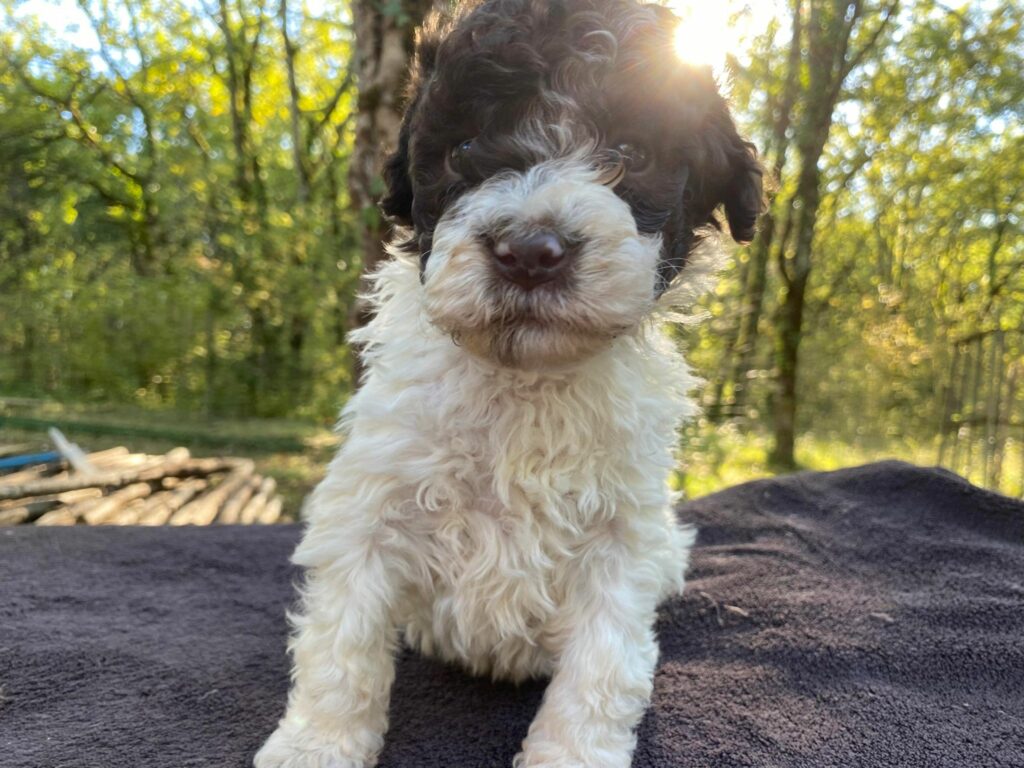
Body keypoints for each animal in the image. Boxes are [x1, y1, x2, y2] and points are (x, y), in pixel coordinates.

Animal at [258, 1, 761, 768]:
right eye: (462, 149)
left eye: (634, 154)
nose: (530, 251)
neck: (523, 382)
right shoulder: (372, 501)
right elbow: (343, 639)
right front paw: (317, 743)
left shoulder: (624, 537)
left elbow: (602, 666)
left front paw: (573, 754)